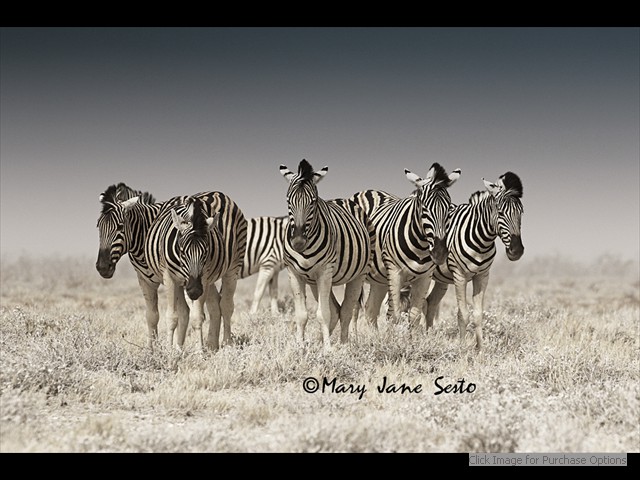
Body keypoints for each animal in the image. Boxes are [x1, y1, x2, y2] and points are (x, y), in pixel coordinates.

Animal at [96, 182, 171, 349]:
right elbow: (152, 316)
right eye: (98, 227)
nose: (102, 267)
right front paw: (152, 350)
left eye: (120, 227)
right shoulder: (145, 280)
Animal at [144, 191, 247, 351]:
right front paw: (169, 351)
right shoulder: (169, 277)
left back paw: (227, 344)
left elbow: (198, 317)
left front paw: (200, 352)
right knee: (214, 304)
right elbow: (172, 317)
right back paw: (211, 346)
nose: (193, 291)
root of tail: (217, 193)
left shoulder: (203, 277)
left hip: (233, 268)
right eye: (181, 251)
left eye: (205, 252)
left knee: (226, 305)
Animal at [280, 159, 374, 349]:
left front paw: (328, 349)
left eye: (313, 202)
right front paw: (300, 346)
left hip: (358, 275)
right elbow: (302, 315)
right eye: (288, 200)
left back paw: (344, 344)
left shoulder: (324, 271)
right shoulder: (294, 273)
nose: (298, 242)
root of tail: (343, 200)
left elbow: (323, 314)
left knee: (346, 310)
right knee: (336, 309)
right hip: (314, 281)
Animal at [349, 163, 461, 329]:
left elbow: (415, 316)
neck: (420, 247)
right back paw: (352, 336)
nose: (439, 252)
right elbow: (393, 315)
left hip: (380, 278)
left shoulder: (425, 276)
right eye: (424, 207)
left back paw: (373, 336)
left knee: (370, 309)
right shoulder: (395, 272)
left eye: (449, 209)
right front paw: (392, 337)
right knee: (354, 308)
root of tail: (367, 191)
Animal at [424, 172, 524, 350]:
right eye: (500, 212)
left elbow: (478, 314)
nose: (517, 251)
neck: (481, 242)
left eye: (521, 213)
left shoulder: (482, 276)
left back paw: (427, 339)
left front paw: (480, 350)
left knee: (431, 303)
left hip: (441, 279)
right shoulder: (459, 276)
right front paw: (462, 350)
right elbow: (463, 314)